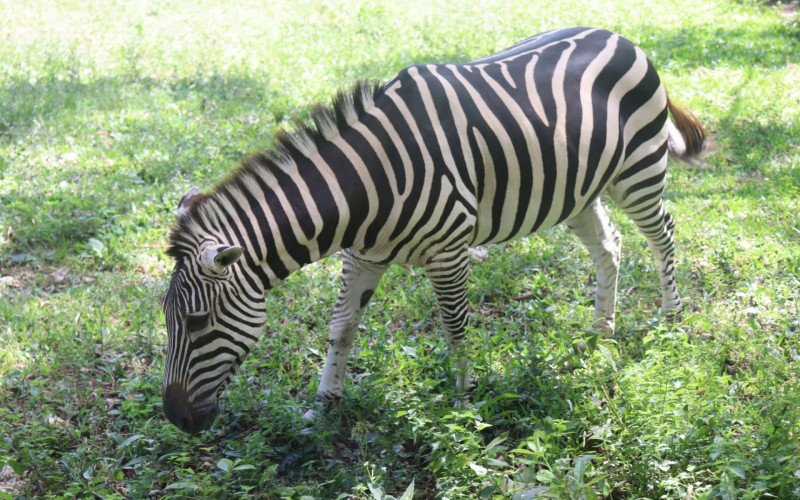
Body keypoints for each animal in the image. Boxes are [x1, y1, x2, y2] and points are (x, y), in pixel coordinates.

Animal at [161, 27, 707, 434]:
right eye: (168, 321)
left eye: (197, 323)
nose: (176, 419)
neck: (366, 187)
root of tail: (621, 36)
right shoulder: (362, 256)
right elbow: (342, 327)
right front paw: (324, 404)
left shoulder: (449, 250)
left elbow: (456, 329)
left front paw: (465, 407)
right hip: (578, 189)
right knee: (609, 248)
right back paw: (601, 334)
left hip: (637, 171)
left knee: (663, 235)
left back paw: (671, 320)